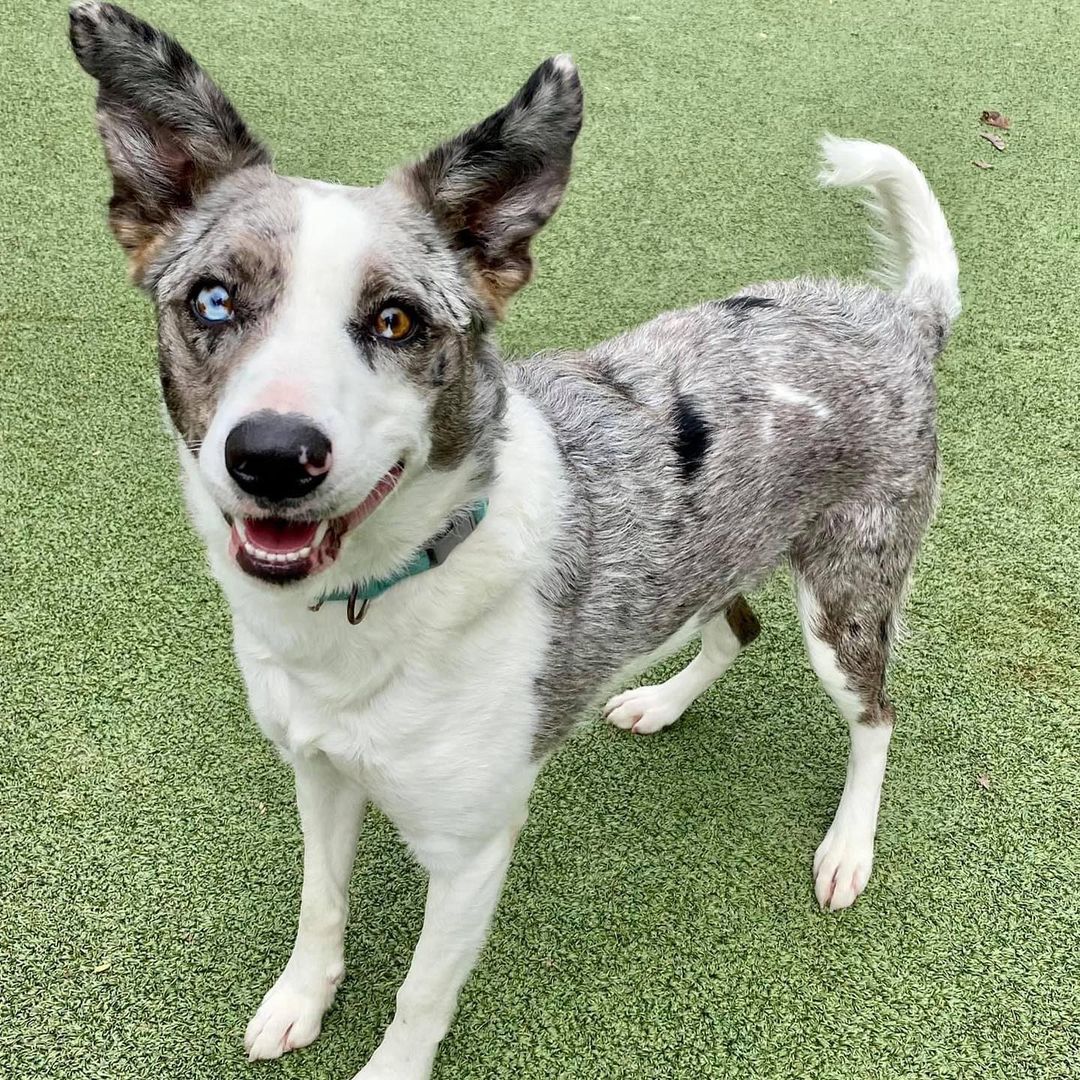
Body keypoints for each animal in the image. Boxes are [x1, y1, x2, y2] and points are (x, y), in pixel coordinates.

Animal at [69, 4, 963, 1075]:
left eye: (397, 320)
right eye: (213, 300)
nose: (274, 456)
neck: (377, 598)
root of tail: (902, 315)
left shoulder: (470, 850)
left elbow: (420, 993)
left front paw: (389, 1062)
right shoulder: (318, 772)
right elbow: (320, 907)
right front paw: (298, 1001)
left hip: (847, 594)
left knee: (876, 717)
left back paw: (848, 849)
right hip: (716, 553)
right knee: (735, 626)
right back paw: (659, 702)